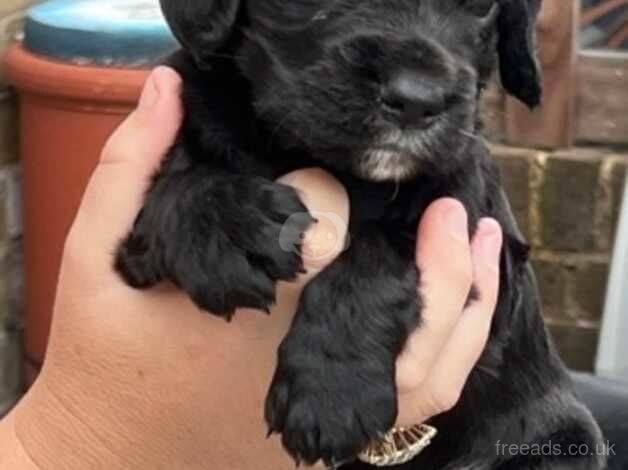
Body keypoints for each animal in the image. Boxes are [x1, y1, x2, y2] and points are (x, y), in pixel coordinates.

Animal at [115, 1, 604, 468]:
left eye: (484, 8)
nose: (416, 100)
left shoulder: (477, 237)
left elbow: (381, 253)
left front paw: (331, 393)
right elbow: (177, 182)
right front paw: (225, 229)